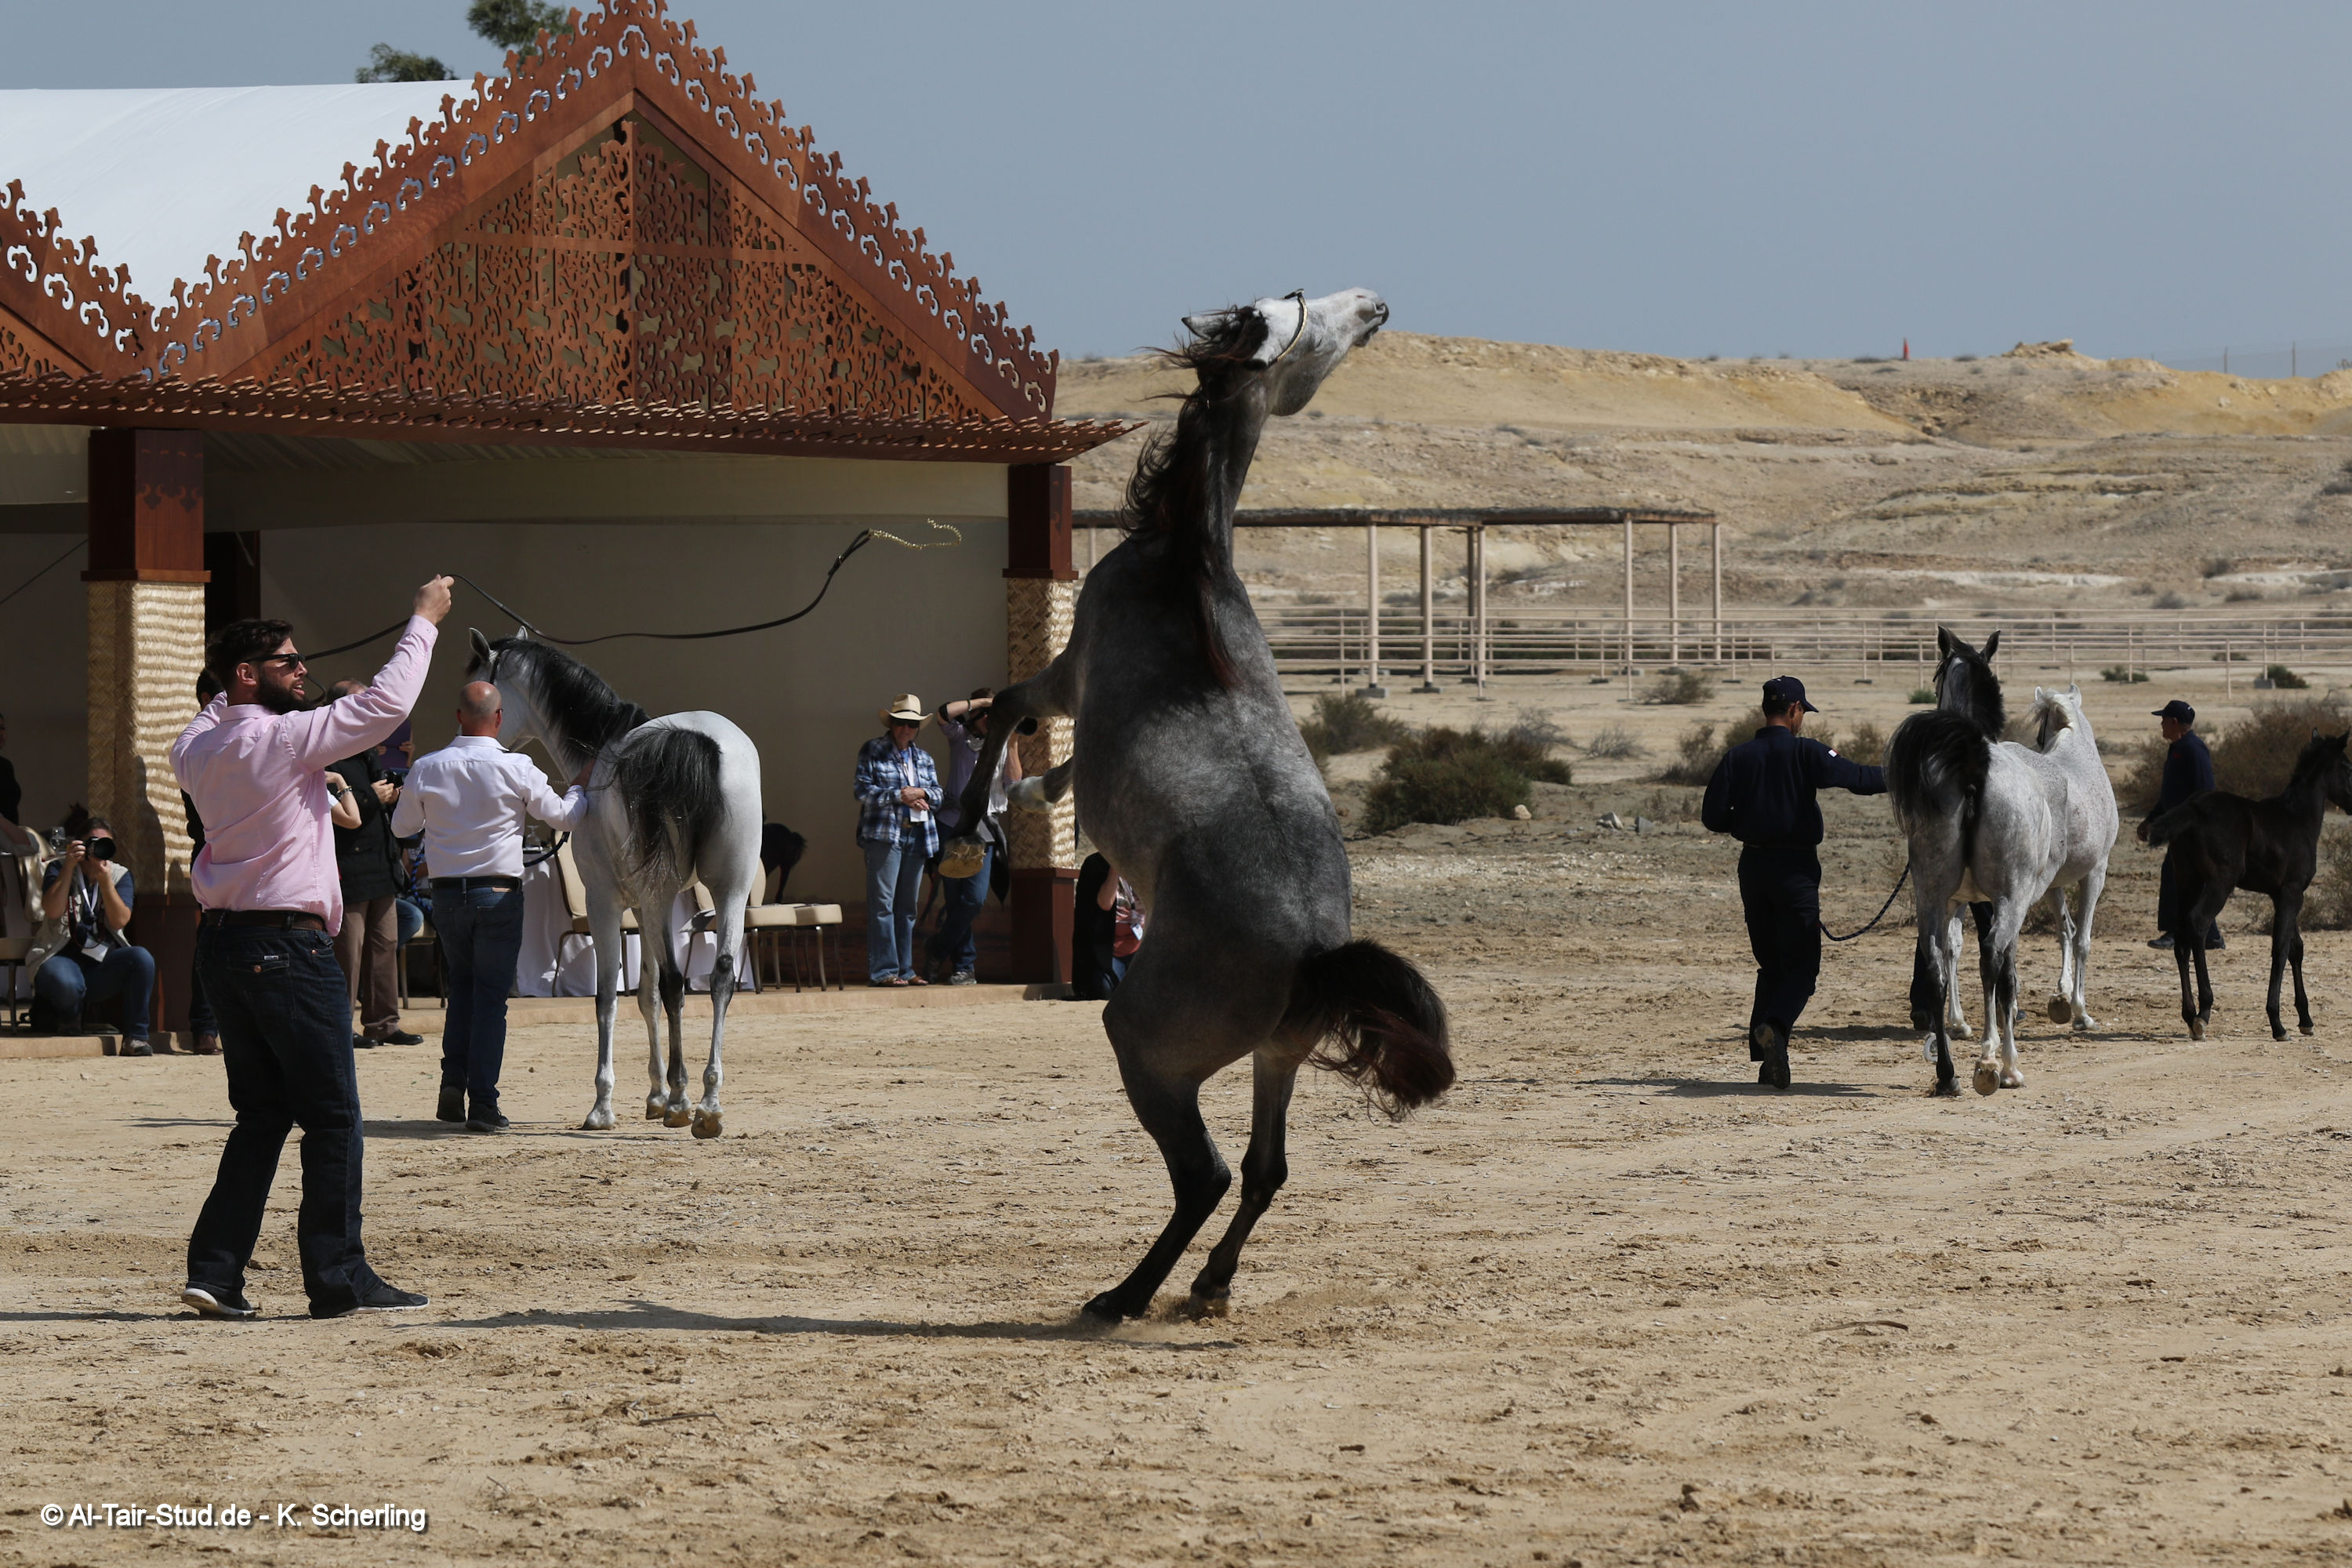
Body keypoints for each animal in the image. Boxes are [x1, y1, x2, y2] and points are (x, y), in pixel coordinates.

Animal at [466, 632, 762, 1137]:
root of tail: (694, 741)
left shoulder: (605, 901)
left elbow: (608, 997)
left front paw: (605, 1106)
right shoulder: (640, 907)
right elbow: (645, 995)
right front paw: (657, 1096)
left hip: (661, 895)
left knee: (676, 982)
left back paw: (685, 1103)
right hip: (729, 888)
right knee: (719, 975)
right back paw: (707, 1104)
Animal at [943, 287, 1455, 1323]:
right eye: (1314, 321)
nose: (1374, 304)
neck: (1189, 563)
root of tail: (1317, 953)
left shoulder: (1069, 670)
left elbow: (1008, 706)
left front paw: (974, 828)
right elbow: (1050, 755)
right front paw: (1036, 795)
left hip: (1147, 1048)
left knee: (1207, 1173)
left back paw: (1125, 1293)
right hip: (1279, 1056)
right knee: (1264, 1169)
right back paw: (1209, 1284)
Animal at [1885, 628, 2070, 1096]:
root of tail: (1974, 764)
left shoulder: (1959, 902)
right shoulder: (2003, 903)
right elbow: (2007, 975)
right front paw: (2006, 1061)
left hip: (1930, 896)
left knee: (1934, 966)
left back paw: (1947, 1074)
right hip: (2009, 899)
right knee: (1991, 960)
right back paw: (1992, 1064)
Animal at [2026, 684, 2120, 1031]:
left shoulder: (2054, 884)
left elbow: (2065, 931)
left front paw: (2062, 995)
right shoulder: (2096, 873)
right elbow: (2082, 939)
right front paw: (2080, 1011)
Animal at [2143, 729, 2352, 1041]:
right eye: (2348, 767)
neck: (2298, 818)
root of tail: (2193, 807)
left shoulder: (2283, 894)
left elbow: (2296, 948)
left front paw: (2306, 1019)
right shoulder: (2292, 893)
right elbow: (2280, 948)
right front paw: (2278, 1023)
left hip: (2187, 880)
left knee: (2180, 940)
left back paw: (2189, 1015)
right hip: (2220, 882)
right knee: (2198, 923)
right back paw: (2204, 1012)